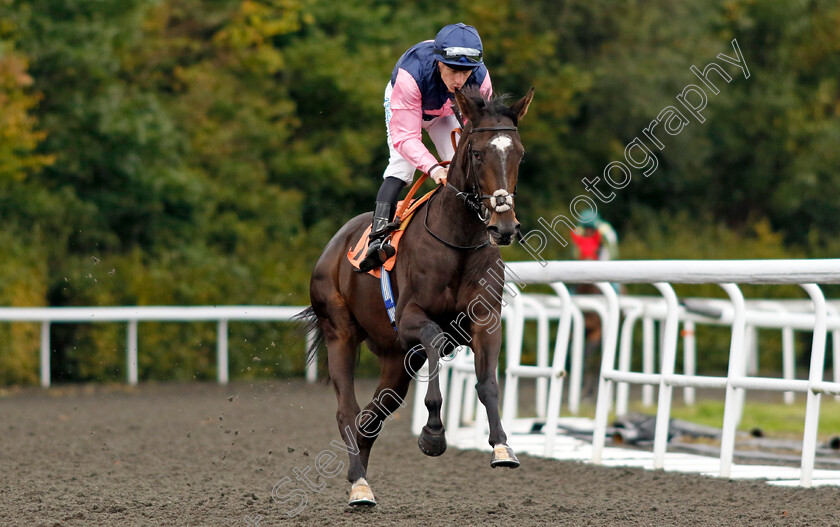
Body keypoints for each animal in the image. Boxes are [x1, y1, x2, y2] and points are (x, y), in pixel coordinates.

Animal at [302, 86, 536, 508]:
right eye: (478, 154)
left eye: (519, 154)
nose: (504, 226)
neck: (459, 241)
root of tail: (334, 246)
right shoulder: (410, 318)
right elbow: (434, 338)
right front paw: (432, 434)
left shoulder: (485, 320)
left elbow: (488, 382)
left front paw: (502, 447)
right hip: (339, 332)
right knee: (348, 410)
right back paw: (359, 485)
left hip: (395, 360)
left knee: (372, 417)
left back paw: (359, 478)